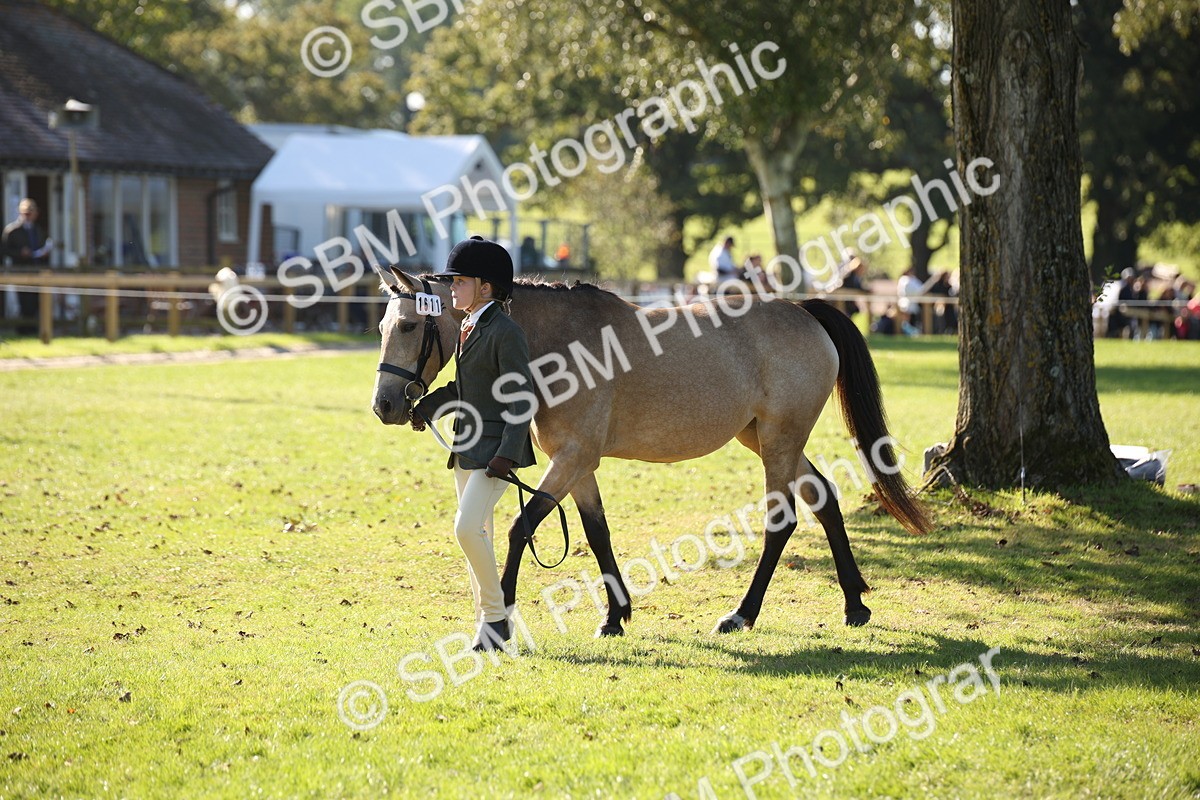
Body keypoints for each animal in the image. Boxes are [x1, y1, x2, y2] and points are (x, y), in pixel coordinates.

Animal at [372, 269, 931, 636]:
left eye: (408, 326)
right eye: (381, 327)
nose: (385, 406)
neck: (560, 343)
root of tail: (802, 311)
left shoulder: (572, 458)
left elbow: (520, 527)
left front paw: (498, 623)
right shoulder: (578, 464)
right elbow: (596, 533)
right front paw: (614, 617)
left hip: (779, 439)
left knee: (783, 520)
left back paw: (742, 614)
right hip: (764, 437)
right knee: (825, 499)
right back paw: (854, 603)